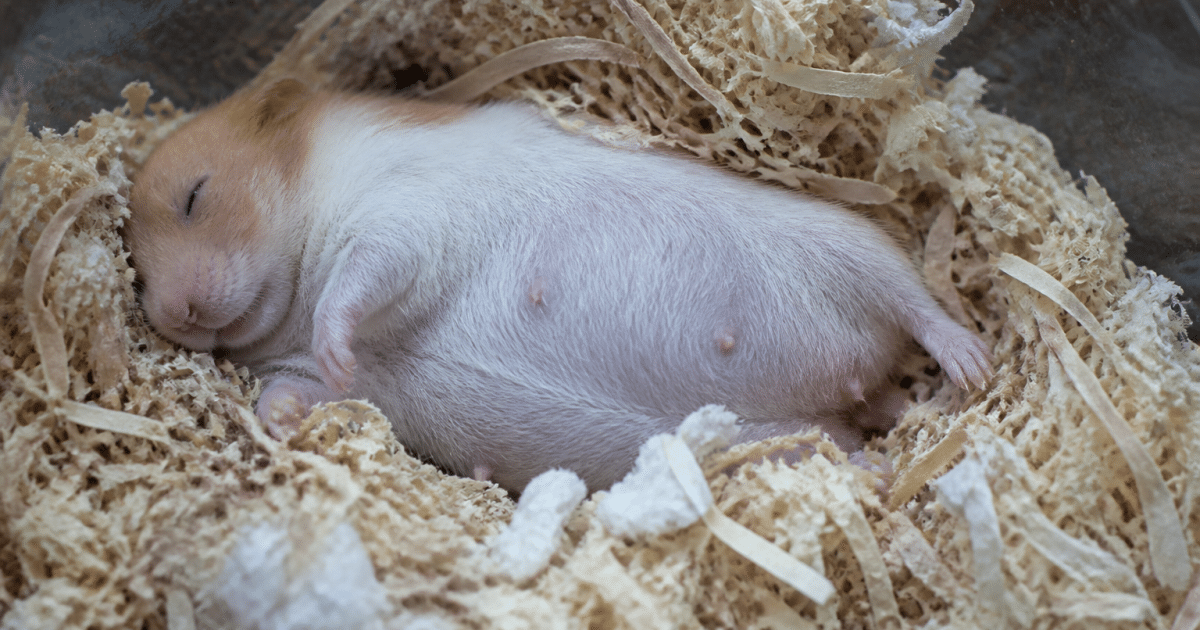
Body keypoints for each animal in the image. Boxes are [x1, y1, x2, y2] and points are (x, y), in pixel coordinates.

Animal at [125, 79, 992, 493]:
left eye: (196, 195)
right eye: (134, 267)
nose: (176, 313)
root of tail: (851, 392)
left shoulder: (407, 214)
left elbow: (358, 283)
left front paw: (337, 342)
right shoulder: (306, 371)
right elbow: (297, 391)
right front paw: (277, 422)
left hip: (853, 245)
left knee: (919, 305)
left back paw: (970, 364)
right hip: (779, 443)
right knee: (844, 439)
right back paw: (877, 462)